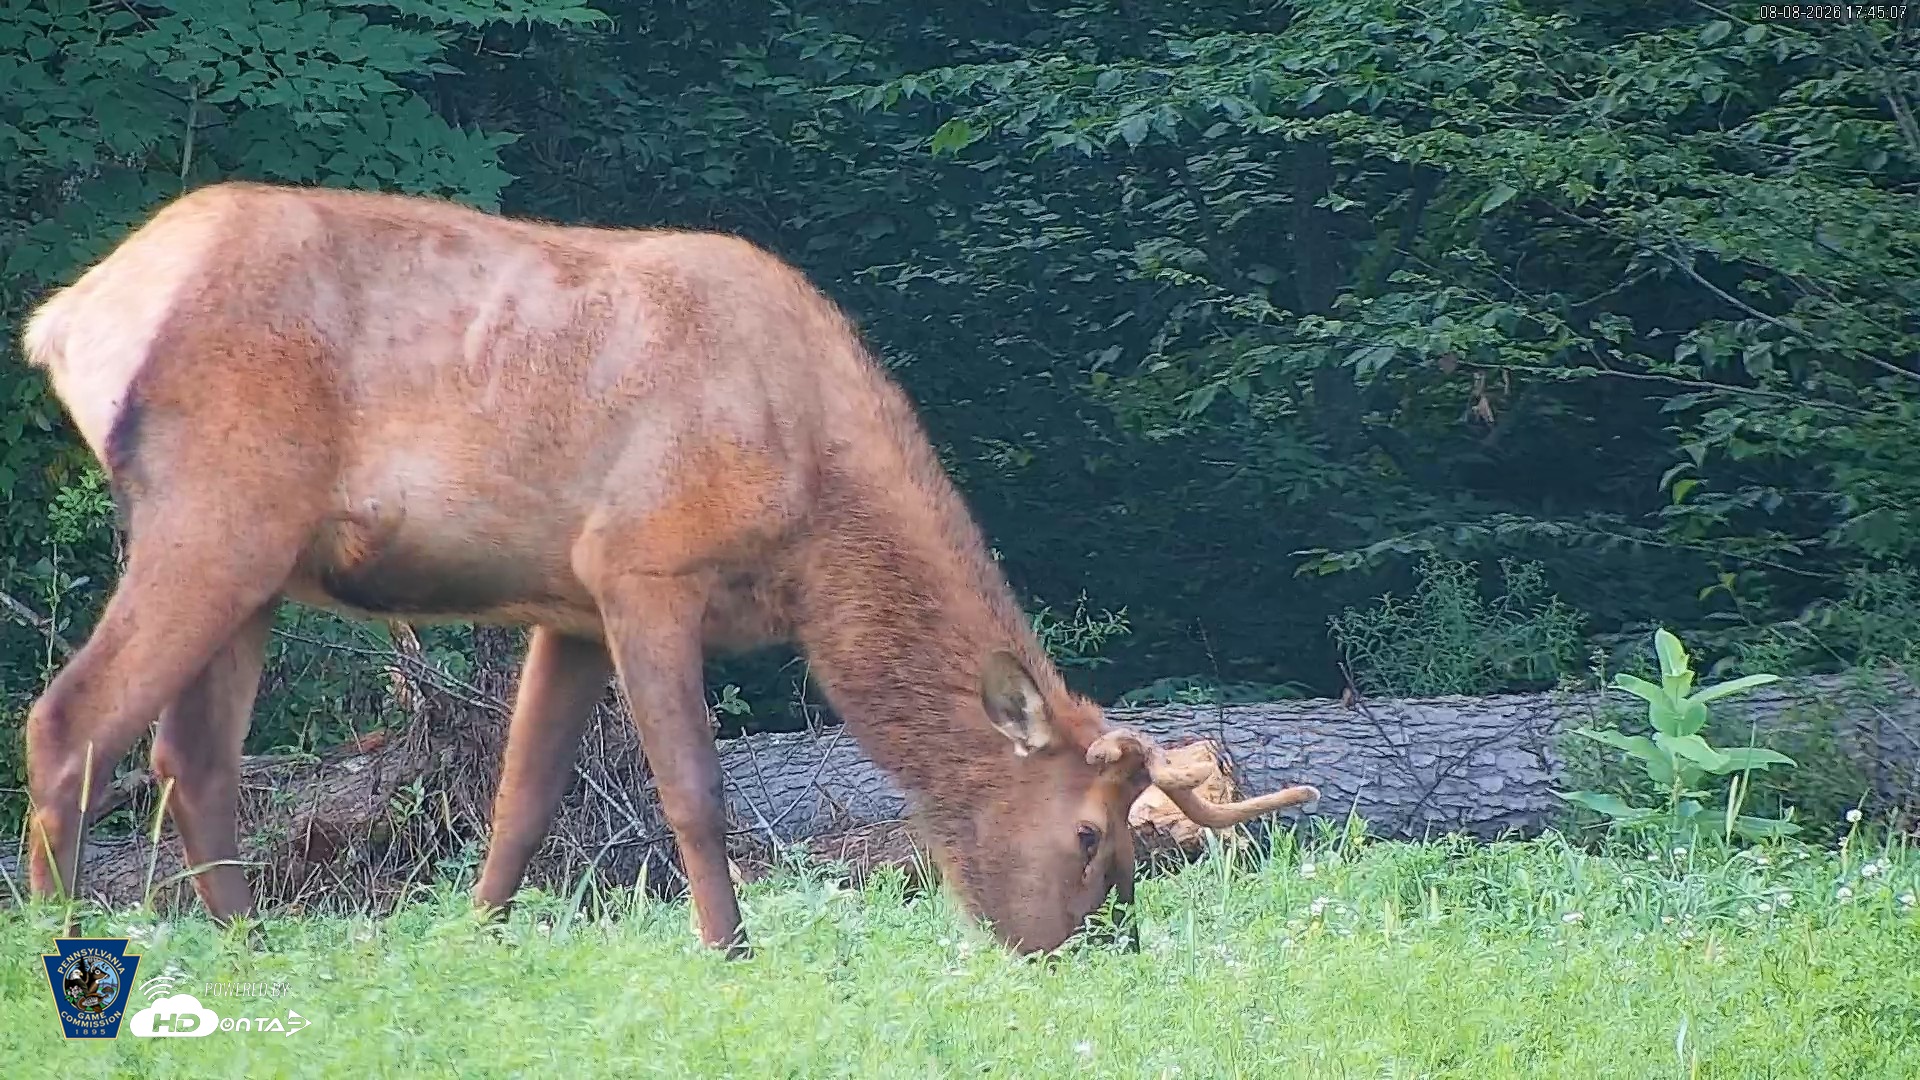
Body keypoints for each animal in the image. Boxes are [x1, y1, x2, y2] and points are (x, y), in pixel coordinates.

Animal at [19, 180, 1320, 955]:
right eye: (1093, 837)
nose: (1103, 947)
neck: (810, 534)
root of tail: (69, 318)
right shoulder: (642, 564)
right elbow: (694, 790)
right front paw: (730, 948)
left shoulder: (568, 607)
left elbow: (523, 800)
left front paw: (477, 938)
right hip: (214, 513)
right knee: (70, 718)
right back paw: (58, 937)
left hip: (257, 562)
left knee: (192, 757)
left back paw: (247, 949)